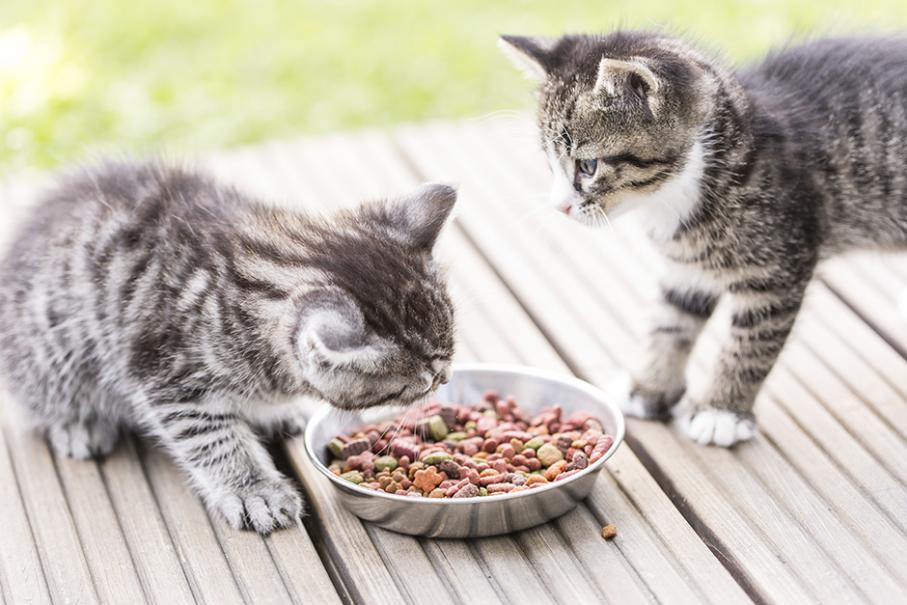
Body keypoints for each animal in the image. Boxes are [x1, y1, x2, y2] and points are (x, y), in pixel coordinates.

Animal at [0, 162, 454, 532]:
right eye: (420, 383)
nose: (445, 379)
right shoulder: (166, 375)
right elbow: (214, 439)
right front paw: (254, 489)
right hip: (52, 350)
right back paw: (77, 422)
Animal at [500, 30, 907, 446]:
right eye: (550, 164)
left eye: (588, 165)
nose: (559, 207)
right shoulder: (687, 267)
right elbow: (669, 323)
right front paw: (649, 388)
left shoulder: (781, 265)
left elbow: (751, 342)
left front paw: (722, 410)